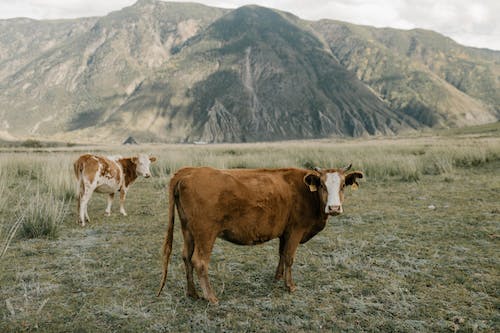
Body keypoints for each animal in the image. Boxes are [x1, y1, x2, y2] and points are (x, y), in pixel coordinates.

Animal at [158, 163, 362, 304]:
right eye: (322, 185)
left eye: (343, 185)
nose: (334, 208)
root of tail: (189, 170)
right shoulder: (296, 229)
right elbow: (289, 257)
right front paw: (290, 286)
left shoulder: (285, 231)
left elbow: (281, 254)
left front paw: (278, 278)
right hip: (205, 233)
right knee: (199, 261)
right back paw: (211, 297)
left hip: (188, 230)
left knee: (186, 256)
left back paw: (192, 293)